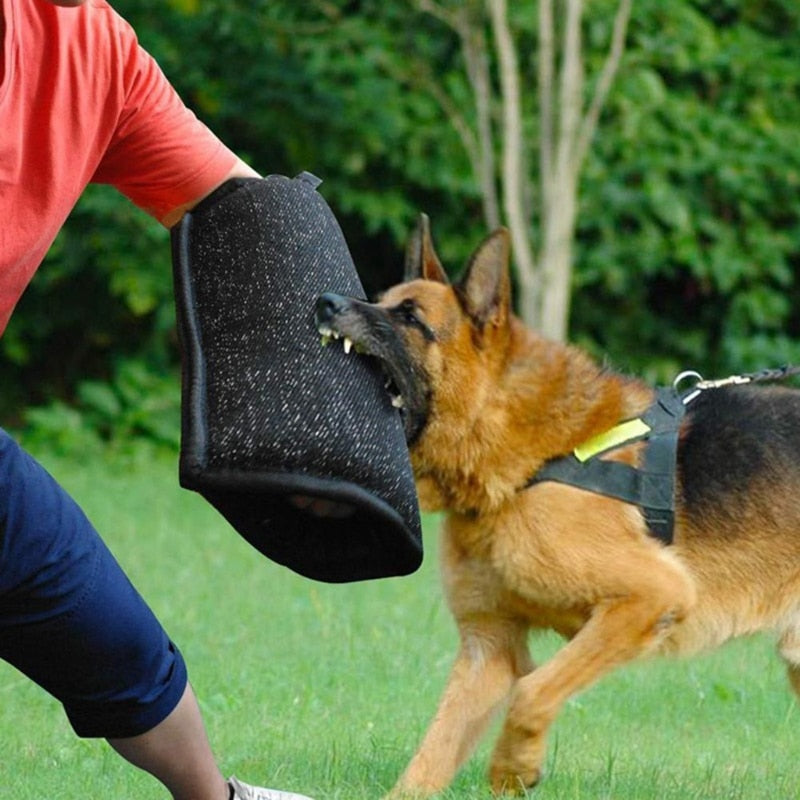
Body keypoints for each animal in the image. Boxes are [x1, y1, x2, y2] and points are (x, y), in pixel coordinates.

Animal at [316, 216, 800, 796]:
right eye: (383, 300)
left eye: (410, 317)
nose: (323, 301)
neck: (526, 461)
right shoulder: (488, 650)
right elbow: (427, 760)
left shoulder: (651, 595)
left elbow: (532, 694)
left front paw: (513, 767)